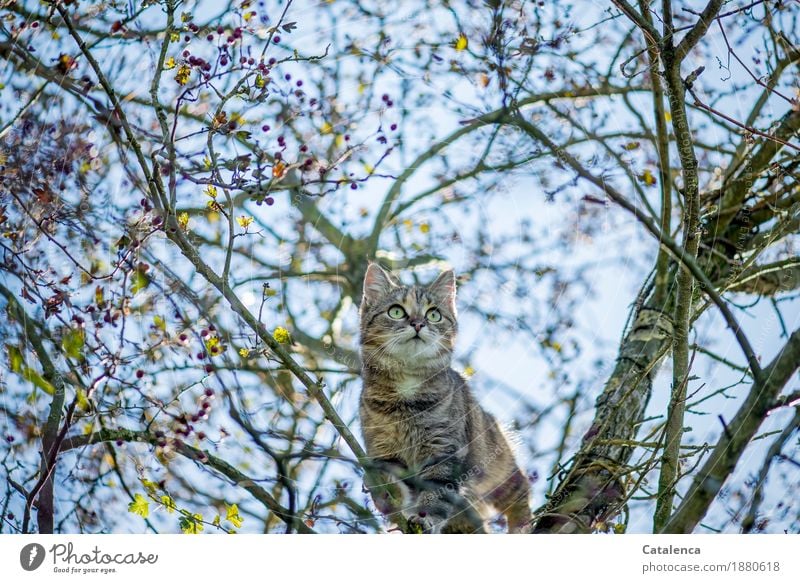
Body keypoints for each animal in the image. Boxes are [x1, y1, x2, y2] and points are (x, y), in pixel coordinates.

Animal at [358, 264, 532, 532]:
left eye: (434, 315)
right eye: (396, 311)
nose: (418, 324)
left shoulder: (444, 450)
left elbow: (436, 491)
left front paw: (426, 517)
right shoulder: (384, 450)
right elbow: (391, 479)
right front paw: (388, 493)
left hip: (498, 468)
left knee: (520, 491)